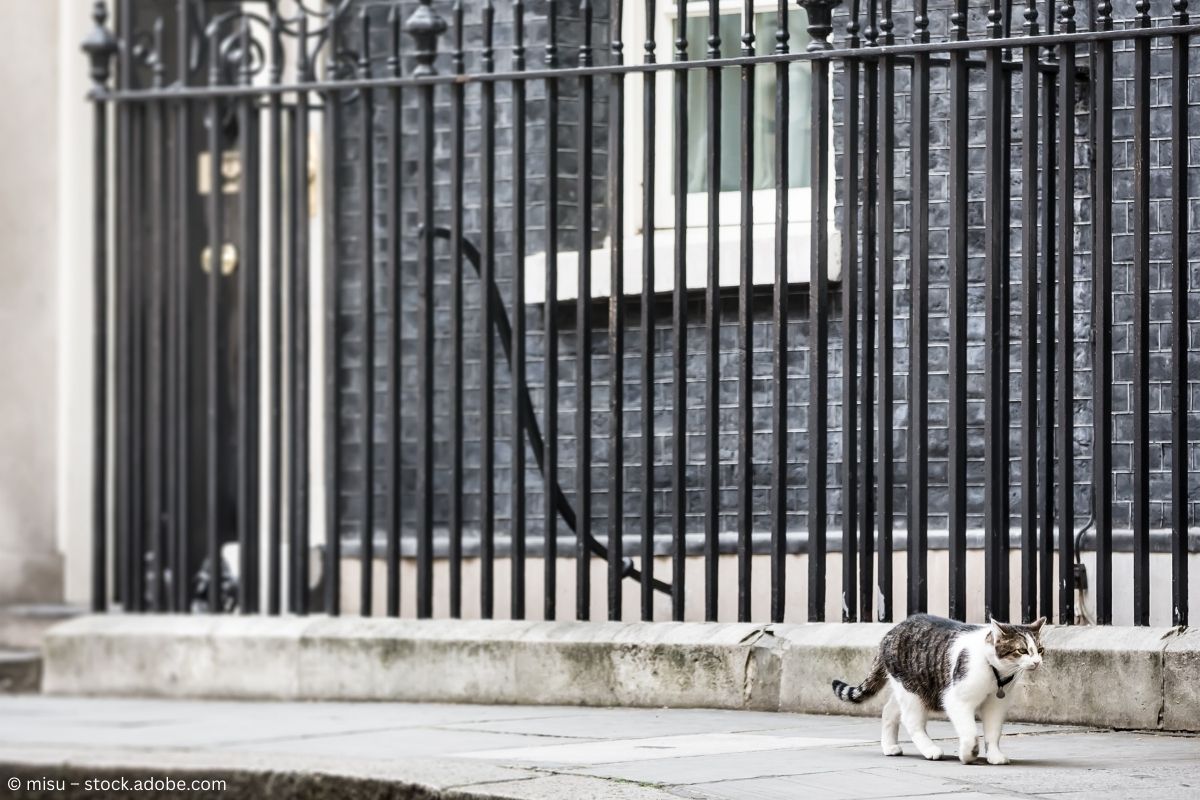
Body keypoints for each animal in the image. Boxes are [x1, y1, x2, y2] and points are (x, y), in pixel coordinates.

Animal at [835, 618, 1041, 767]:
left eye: (1040, 649)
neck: (996, 674)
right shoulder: (956, 700)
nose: (1037, 662)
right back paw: (930, 749)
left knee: (889, 711)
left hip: (907, 688)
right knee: (911, 721)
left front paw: (994, 755)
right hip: (913, 693)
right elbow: (970, 733)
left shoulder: (996, 705)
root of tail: (890, 632)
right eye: (1022, 650)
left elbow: (993, 732)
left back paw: (890, 746)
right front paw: (968, 754)